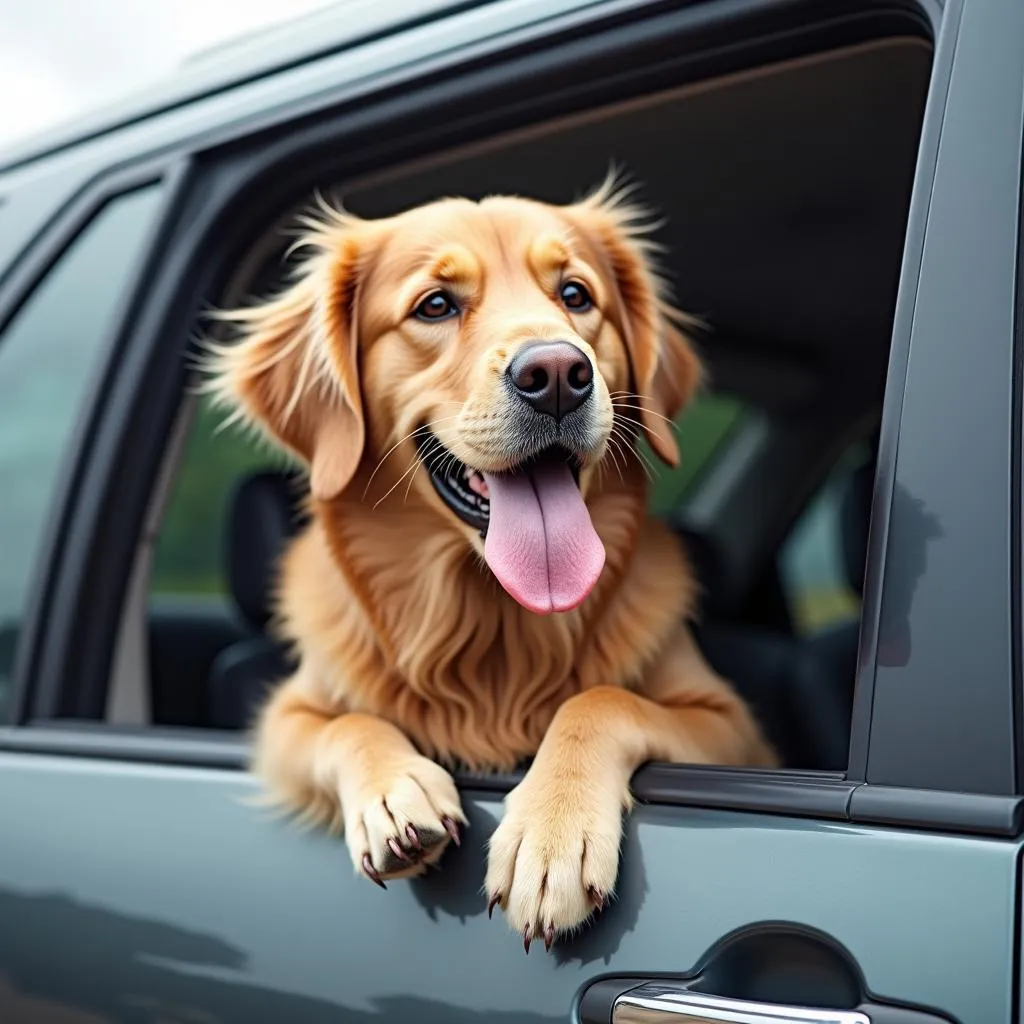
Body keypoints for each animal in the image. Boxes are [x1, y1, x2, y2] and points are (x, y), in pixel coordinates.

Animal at [201, 174, 774, 950]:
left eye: (575, 294)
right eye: (436, 305)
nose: (558, 372)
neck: (493, 626)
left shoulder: (733, 727)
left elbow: (602, 699)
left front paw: (550, 836)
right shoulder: (286, 716)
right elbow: (347, 724)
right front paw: (395, 792)